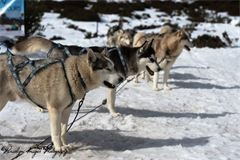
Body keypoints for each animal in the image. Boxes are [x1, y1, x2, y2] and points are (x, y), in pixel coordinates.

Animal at [11, 36, 161, 116]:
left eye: (156, 58)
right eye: (152, 59)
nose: (159, 68)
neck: (123, 59)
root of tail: (56, 45)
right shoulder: (112, 85)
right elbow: (111, 102)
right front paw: (114, 113)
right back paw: (39, 107)